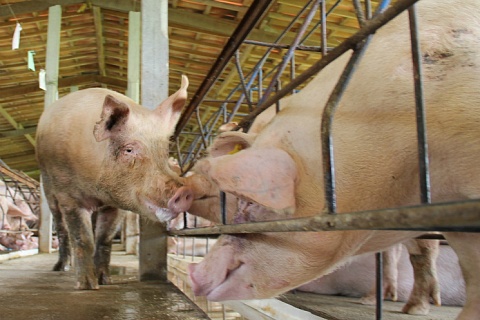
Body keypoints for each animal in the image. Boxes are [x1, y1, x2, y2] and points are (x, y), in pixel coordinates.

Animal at [35, 75, 195, 290]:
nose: (184, 191)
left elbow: (104, 239)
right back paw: (61, 268)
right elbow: (82, 238)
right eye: (129, 150)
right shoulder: (68, 195)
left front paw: (105, 281)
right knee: (61, 228)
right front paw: (87, 286)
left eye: (164, 151)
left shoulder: (116, 204)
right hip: (49, 190)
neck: (97, 189)